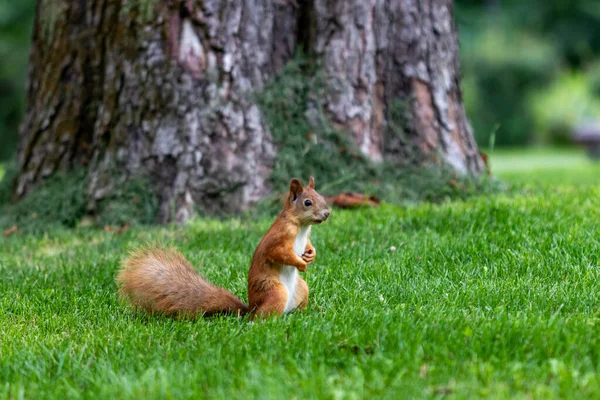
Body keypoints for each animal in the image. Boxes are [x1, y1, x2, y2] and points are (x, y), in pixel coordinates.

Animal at [117, 177, 330, 318]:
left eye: (320, 196)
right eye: (307, 202)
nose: (327, 213)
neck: (301, 226)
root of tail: (250, 309)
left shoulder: (305, 237)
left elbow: (309, 245)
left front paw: (311, 255)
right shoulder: (279, 238)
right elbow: (279, 253)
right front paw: (300, 263)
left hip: (302, 289)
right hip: (275, 293)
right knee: (260, 319)